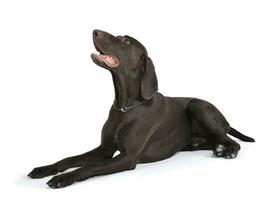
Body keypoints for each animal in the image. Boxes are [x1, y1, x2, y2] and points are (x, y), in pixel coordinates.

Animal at [28, 29, 256, 188]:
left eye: (126, 41)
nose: (94, 31)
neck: (125, 107)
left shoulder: (128, 157)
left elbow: (88, 166)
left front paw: (64, 178)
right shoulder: (104, 149)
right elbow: (70, 158)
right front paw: (45, 168)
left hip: (198, 106)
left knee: (232, 141)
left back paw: (228, 151)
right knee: (213, 141)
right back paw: (218, 148)